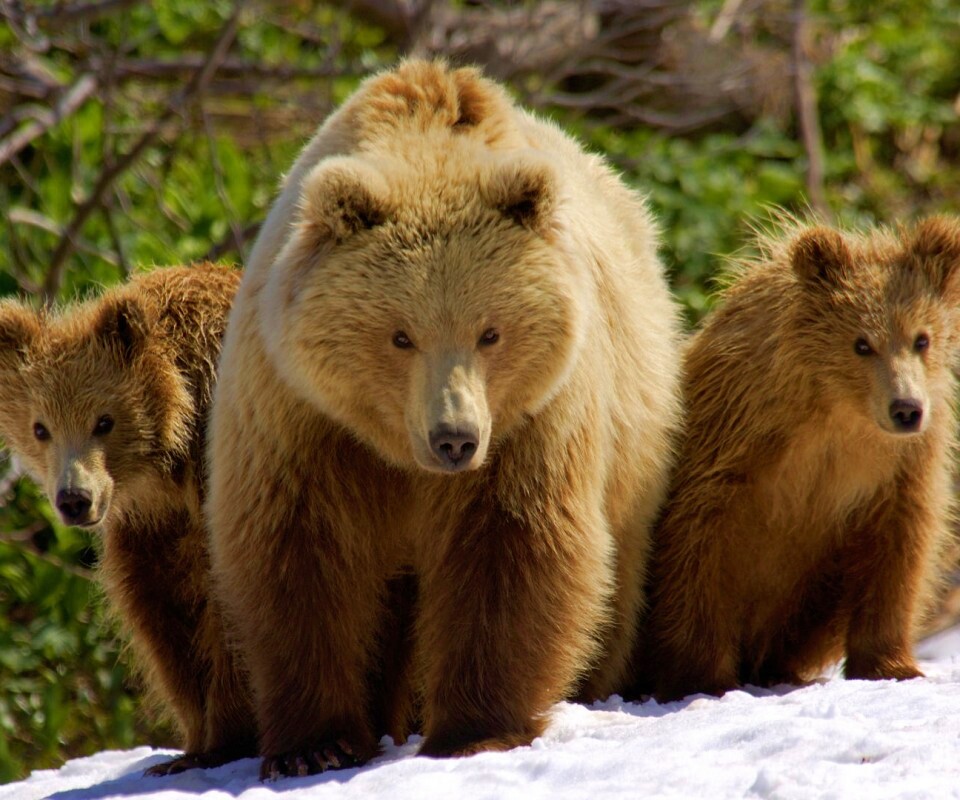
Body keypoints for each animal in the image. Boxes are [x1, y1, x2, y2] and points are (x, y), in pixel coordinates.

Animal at [0, 268, 255, 776]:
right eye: (41, 428)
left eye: (104, 421)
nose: (74, 500)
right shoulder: (150, 530)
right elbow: (161, 616)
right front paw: (190, 745)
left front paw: (225, 740)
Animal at [206, 54, 680, 776]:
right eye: (400, 335)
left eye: (491, 332)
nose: (454, 438)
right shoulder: (301, 416)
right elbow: (299, 553)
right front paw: (314, 745)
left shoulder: (532, 419)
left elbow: (511, 545)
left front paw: (475, 729)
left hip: (634, 437)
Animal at [632, 217, 960, 700]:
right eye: (862, 344)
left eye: (922, 338)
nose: (905, 409)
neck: (836, 412)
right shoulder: (734, 443)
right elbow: (697, 548)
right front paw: (701, 676)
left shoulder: (900, 468)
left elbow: (898, 551)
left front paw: (892, 665)